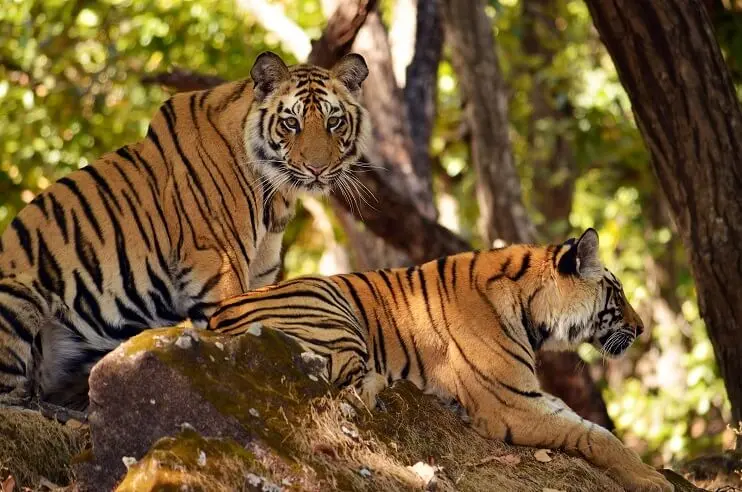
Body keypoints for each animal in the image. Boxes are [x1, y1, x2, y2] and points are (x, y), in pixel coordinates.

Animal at [0, 51, 371, 409]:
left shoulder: (259, 278)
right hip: (18, 296)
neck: (276, 197)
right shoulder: (220, 268)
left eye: (334, 121)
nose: (317, 168)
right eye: (291, 122)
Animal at [209, 228, 673, 492]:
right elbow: (597, 435)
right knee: (350, 383)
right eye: (617, 294)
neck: (532, 309)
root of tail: (215, 317)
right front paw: (652, 479)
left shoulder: (525, 395)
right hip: (329, 306)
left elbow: (591, 428)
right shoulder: (512, 403)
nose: (642, 329)